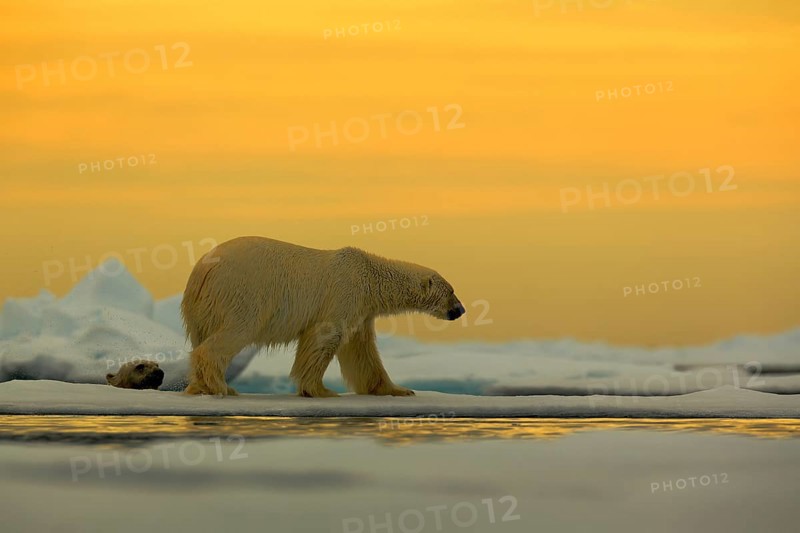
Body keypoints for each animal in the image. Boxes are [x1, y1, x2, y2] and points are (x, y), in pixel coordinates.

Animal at [180, 236, 465, 397]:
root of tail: (202, 269)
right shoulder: (343, 294)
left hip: (202, 309)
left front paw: (397, 390)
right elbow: (324, 337)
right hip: (243, 291)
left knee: (201, 337)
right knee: (236, 331)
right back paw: (221, 387)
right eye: (452, 291)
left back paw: (200, 386)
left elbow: (361, 350)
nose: (461, 310)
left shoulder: (362, 311)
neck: (369, 278)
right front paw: (320, 390)